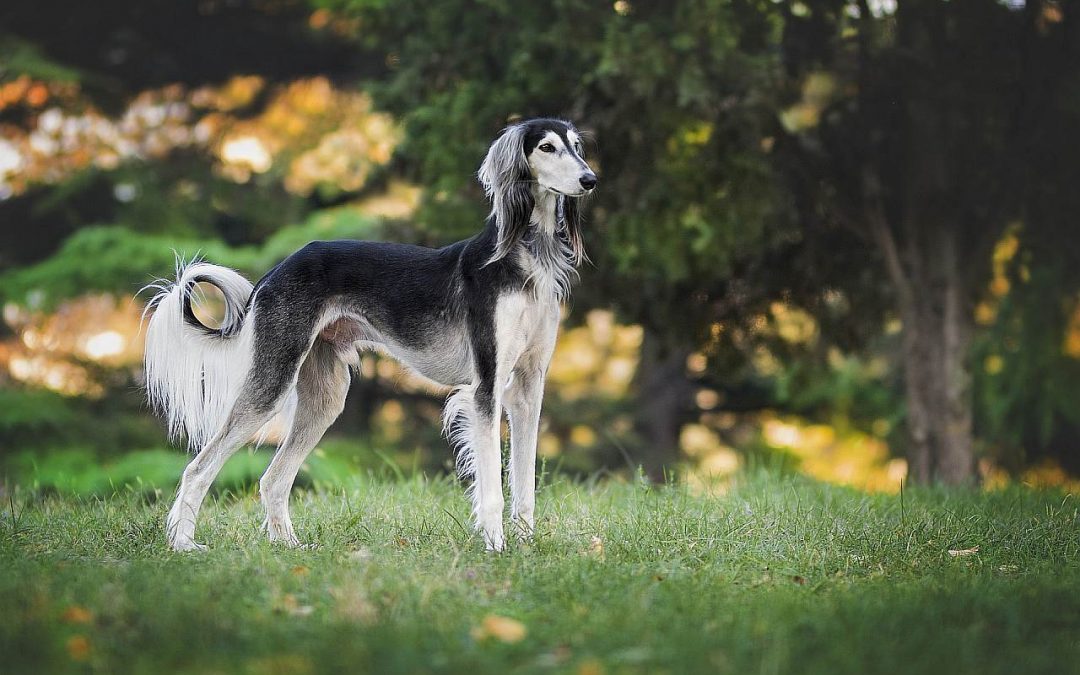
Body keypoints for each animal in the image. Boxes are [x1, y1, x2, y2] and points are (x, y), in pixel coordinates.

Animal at [141, 118, 600, 550]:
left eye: (577, 146)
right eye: (546, 147)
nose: (589, 180)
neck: (524, 255)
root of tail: (276, 271)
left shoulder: (527, 387)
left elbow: (525, 483)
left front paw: (524, 545)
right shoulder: (485, 389)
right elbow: (492, 489)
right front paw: (495, 546)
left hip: (324, 397)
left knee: (273, 479)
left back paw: (288, 546)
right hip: (272, 381)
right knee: (198, 468)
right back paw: (183, 544)